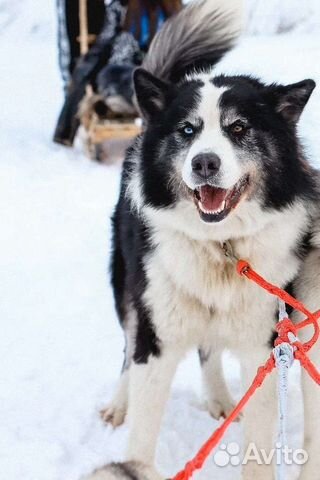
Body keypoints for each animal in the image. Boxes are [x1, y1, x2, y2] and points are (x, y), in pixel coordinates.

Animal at [85, 0, 320, 480]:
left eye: (239, 128)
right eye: (188, 130)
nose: (205, 163)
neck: (222, 248)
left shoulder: (263, 344)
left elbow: (258, 446)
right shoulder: (156, 337)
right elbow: (142, 428)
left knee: (208, 350)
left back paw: (220, 399)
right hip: (128, 287)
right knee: (128, 348)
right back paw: (120, 403)